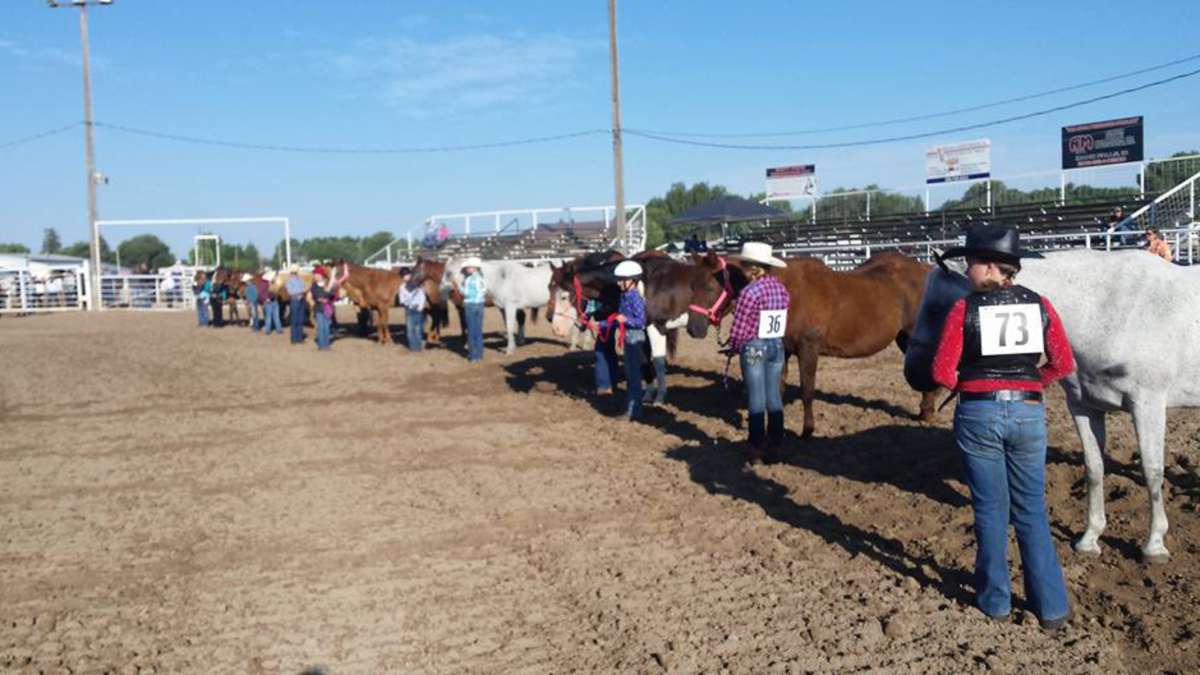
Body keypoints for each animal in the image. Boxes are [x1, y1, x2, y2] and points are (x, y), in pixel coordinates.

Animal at [686, 251, 936, 437]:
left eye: (710, 287)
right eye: (691, 286)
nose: (693, 328)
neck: (786, 291)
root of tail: (927, 269)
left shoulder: (808, 349)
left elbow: (807, 390)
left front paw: (807, 431)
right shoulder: (784, 351)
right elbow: (778, 389)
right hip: (904, 338)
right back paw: (926, 412)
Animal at [907, 249, 1200, 559]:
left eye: (937, 308)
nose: (912, 373)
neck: (1107, 308)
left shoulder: (1147, 404)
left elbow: (1152, 472)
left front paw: (1154, 544)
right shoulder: (1083, 406)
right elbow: (1094, 468)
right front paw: (1090, 539)